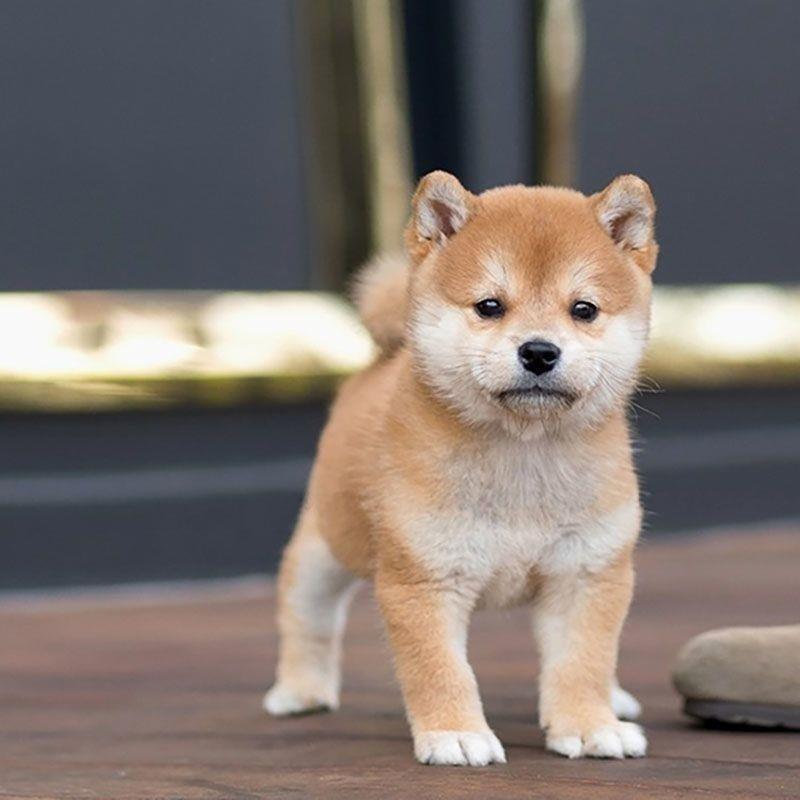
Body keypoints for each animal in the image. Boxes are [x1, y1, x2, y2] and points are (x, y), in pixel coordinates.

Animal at [262, 172, 656, 764]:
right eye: (489, 305)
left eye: (584, 310)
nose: (539, 352)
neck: (522, 455)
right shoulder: (424, 579)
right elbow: (441, 670)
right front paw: (456, 733)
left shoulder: (586, 573)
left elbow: (582, 662)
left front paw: (589, 724)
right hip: (327, 544)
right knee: (308, 615)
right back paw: (300, 690)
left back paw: (615, 698)